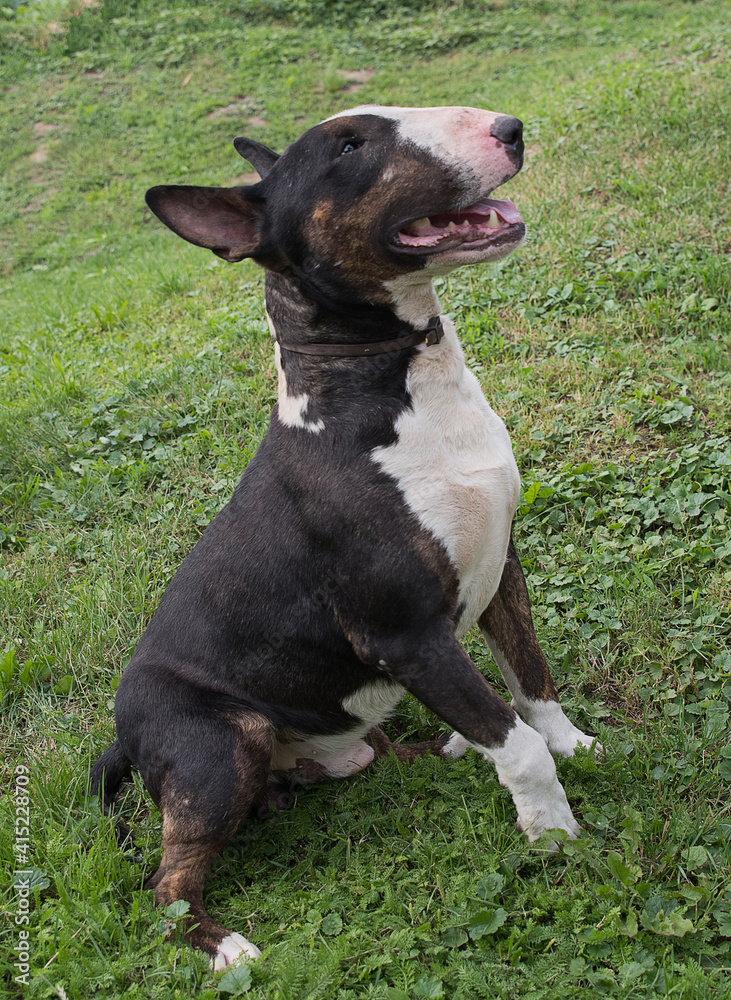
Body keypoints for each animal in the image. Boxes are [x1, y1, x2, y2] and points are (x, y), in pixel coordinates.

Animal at [90, 103, 600, 968]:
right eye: (350, 147)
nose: (509, 128)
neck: (390, 389)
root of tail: (124, 736)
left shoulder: (501, 568)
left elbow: (530, 684)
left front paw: (576, 746)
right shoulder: (405, 635)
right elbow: (517, 745)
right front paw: (553, 832)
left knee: (382, 747)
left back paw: (450, 747)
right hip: (220, 748)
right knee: (164, 884)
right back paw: (223, 947)